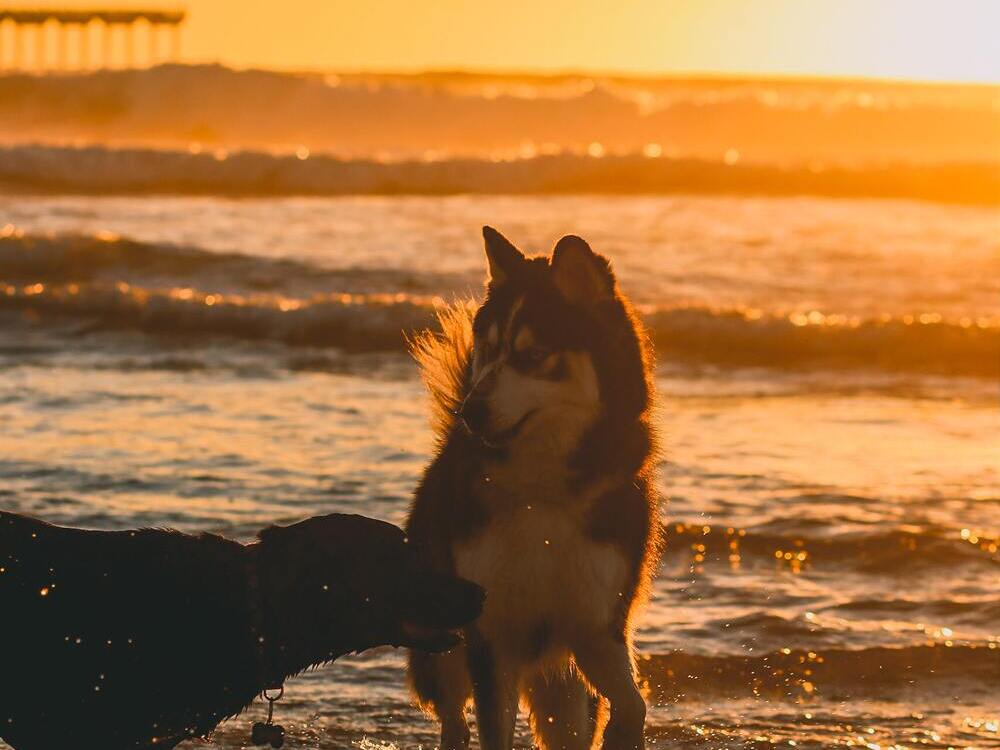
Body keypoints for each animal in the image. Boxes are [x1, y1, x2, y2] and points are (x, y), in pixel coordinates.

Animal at [402, 228, 660, 750]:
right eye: (487, 349)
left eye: (533, 355)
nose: (469, 412)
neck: (542, 492)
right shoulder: (490, 636)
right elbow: (492, 726)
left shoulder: (597, 625)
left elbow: (633, 703)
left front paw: (623, 734)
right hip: (440, 639)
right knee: (454, 718)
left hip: (559, 676)